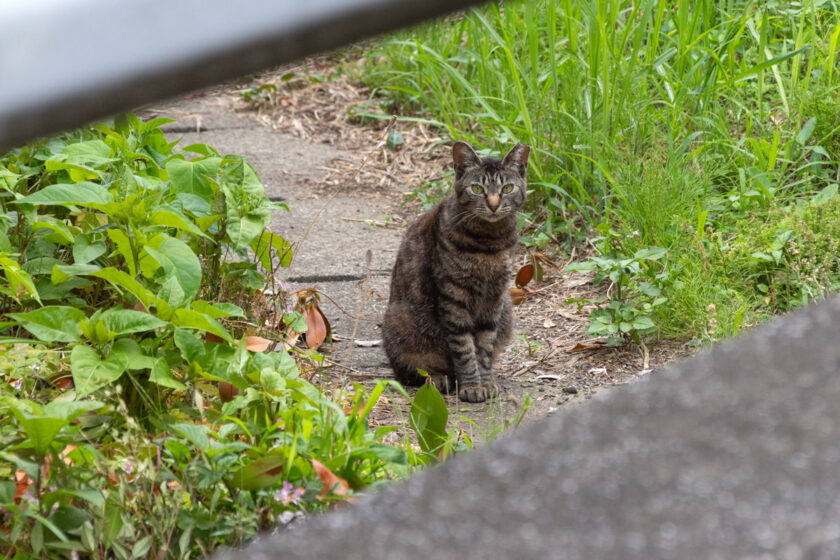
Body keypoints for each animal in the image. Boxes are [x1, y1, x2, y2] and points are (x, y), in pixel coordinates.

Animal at [382, 140, 528, 402]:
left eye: (508, 188)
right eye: (477, 189)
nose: (493, 205)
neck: (489, 243)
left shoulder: (494, 298)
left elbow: (484, 348)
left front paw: (485, 381)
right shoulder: (454, 298)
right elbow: (464, 349)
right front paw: (472, 386)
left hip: (506, 312)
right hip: (399, 323)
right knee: (409, 371)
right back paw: (439, 378)